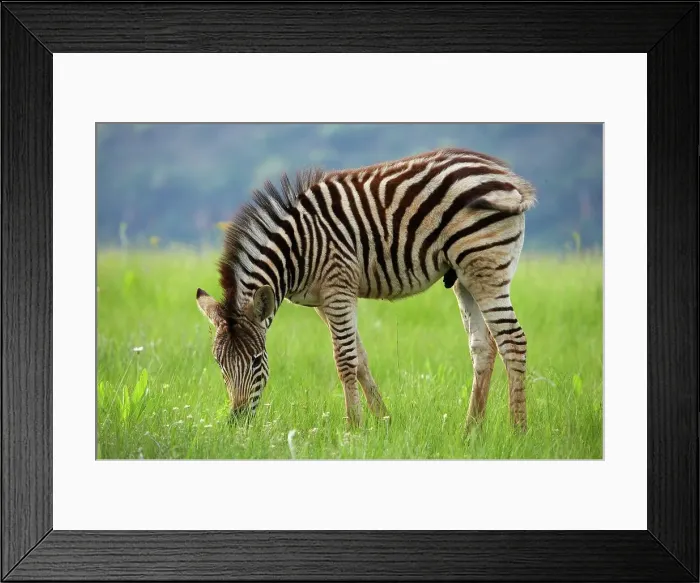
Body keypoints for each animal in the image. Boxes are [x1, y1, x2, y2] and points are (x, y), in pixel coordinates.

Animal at [196, 147, 536, 431]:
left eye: (256, 360)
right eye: (219, 364)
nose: (237, 421)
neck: (298, 249)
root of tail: (507, 177)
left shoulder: (338, 287)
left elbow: (344, 360)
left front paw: (353, 428)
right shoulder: (323, 301)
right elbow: (359, 358)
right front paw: (384, 421)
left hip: (485, 266)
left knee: (513, 340)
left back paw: (518, 431)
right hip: (465, 276)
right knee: (483, 347)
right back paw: (471, 431)